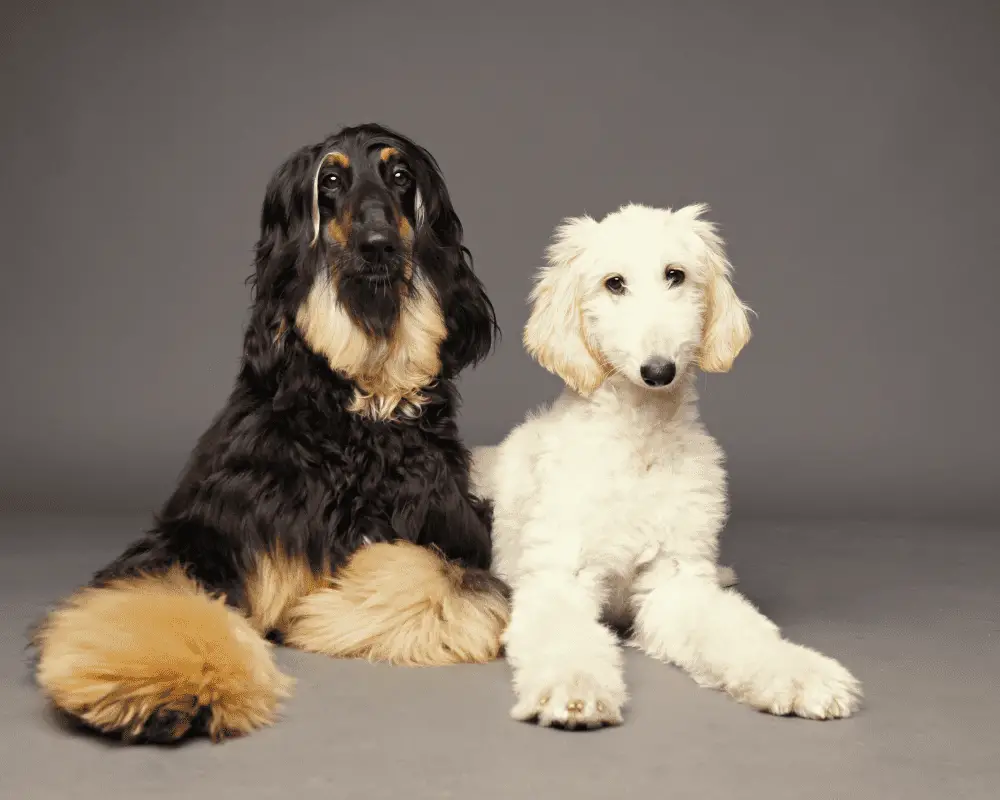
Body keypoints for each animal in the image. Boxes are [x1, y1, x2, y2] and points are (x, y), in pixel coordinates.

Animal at [31, 123, 508, 744]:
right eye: (331, 181)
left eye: (400, 175)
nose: (378, 244)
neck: (362, 408)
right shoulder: (201, 534)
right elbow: (156, 592)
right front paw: (166, 684)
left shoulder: (457, 529)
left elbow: (433, 574)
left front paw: (322, 609)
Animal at [472, 203, 864, 728]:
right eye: (614, 283)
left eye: (675, 275)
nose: (658, 371)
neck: (640, 441)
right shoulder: (560, 580)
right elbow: (566, 641)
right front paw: (574, 691)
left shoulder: (675, 585)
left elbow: (738, 631)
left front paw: (799, 674)